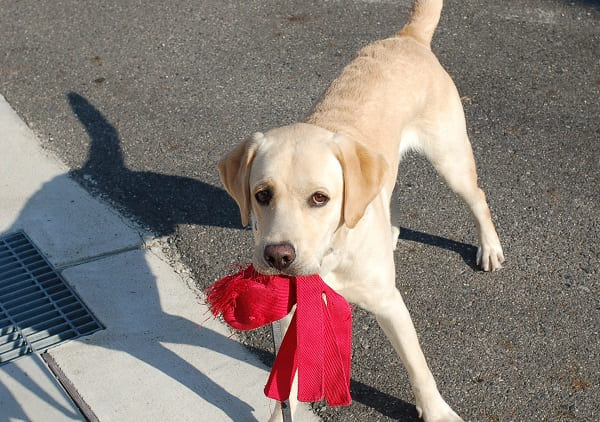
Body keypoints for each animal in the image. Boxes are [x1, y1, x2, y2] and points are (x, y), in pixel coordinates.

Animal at [218, 0, 504, 422]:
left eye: (320, 198)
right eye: (262, 195)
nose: (278, 257)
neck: (331, 256)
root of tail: (407, 37)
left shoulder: (390, 303)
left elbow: (418, 367)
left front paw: (436, 411)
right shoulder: (291, 318)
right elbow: (287, 382)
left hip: (451, 159)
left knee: (478, 197)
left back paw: (489, 247)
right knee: (390, 190)